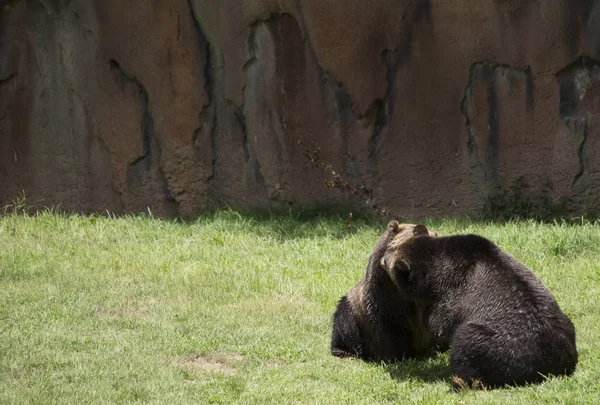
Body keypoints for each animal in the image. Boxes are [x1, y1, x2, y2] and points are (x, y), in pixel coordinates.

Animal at [380, 221, 576, 388]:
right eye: (391, 247)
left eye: (389, 255)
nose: (382, 257)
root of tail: (552, 364)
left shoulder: (451, 292)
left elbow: (440, 322)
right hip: (564, 324)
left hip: (500, 347)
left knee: (467, 344)